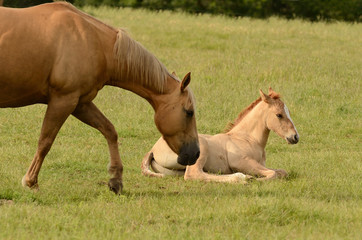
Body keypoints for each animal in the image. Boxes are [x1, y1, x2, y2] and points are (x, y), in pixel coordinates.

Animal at [0, 2, 199, 195]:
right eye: (189, 112)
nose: (195, 153)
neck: (92, 41)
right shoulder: (63, 101)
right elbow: (45, 142)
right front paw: (31, 182)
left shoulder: (80, 103)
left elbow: (109, 130)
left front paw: (116, 180)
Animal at [140, 87, 298, 183]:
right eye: (279, 115)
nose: (295, 137)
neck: (247, 138)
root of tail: (153, 149)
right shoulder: (241, 162)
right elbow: (273, 174)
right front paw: (253, 179)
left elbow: (281, 172)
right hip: (201, 149)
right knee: (194, 174)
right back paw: (240, 178)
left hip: (174, 172)